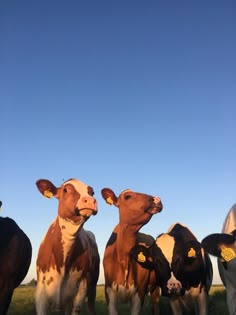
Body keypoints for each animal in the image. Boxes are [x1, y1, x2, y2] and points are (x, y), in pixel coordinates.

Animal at [35, 180, 100, 315]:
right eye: (65, 190)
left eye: (91, 192)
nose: (90, 200)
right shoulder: (40, 293)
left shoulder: (82, 287)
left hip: (92, 286)